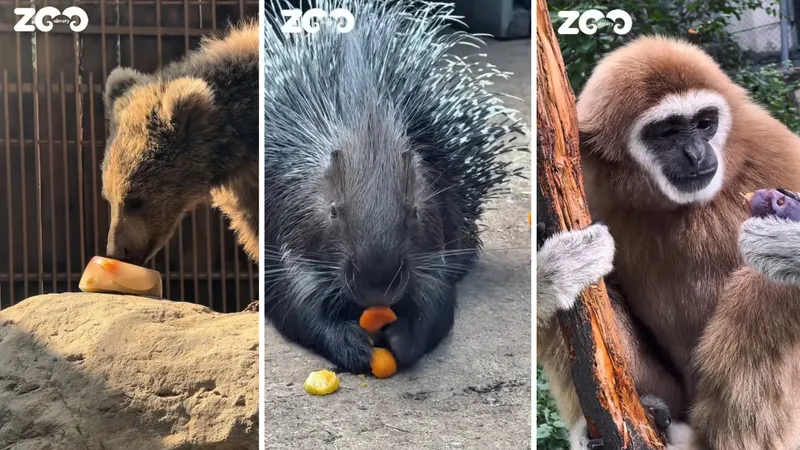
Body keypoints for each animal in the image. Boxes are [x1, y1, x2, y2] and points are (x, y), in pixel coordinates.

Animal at [537, 35, 800, 449]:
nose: (696, 153)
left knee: (765, 284)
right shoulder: (587, 180)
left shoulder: (774, 150)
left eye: (705, 123)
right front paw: (553, 271)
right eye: (667, 132)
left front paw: (790, 247)